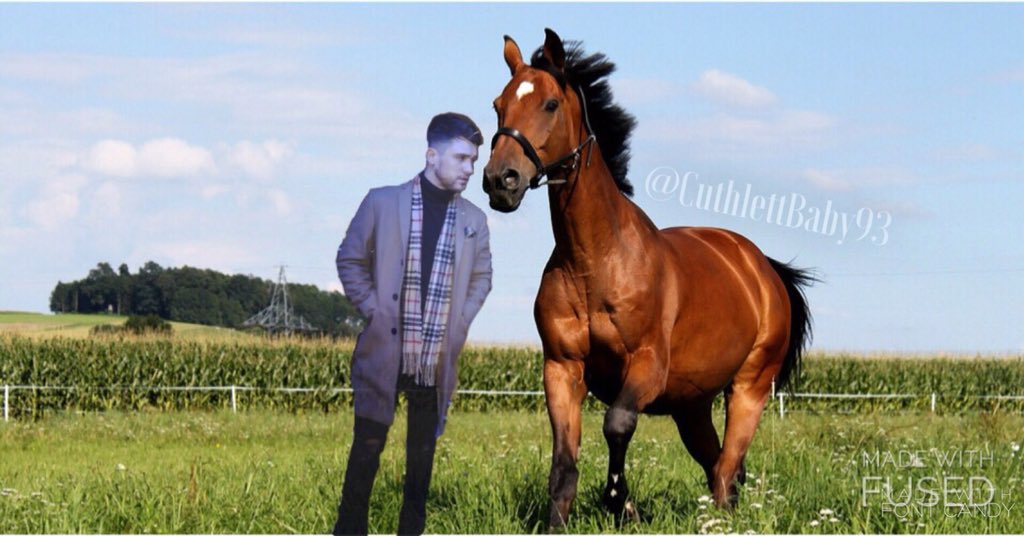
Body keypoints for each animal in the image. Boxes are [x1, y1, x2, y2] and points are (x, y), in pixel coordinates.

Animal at [481, 29, 815, 529]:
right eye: (498, 105)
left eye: (550, 104)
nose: (500, 180)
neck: (595, 262)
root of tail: (763, 267)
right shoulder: (561, 368)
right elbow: (564, 461)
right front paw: (566, 518)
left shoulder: (646, 366)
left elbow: (617, 424)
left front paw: (621, 502)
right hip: (691, 405)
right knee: (718, 464)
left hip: (750, 387)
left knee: (728, 465)